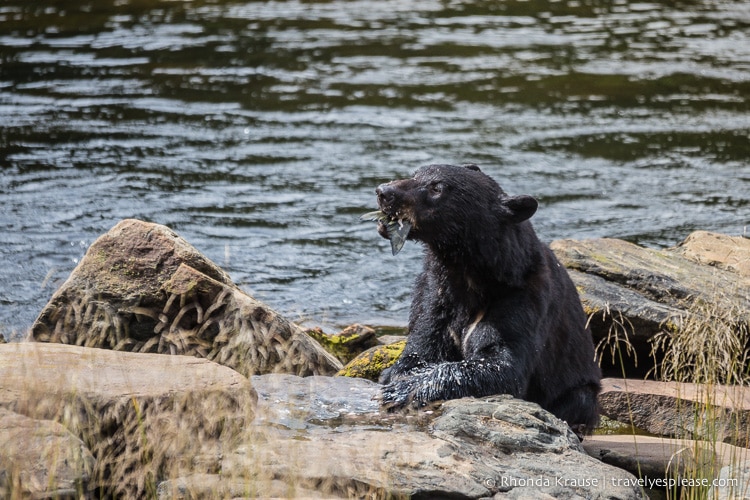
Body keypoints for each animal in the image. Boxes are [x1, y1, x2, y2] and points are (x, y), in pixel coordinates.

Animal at [370, 163, 604, 434]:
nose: (384, 191)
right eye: (416, 173)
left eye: (437, 187)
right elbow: (423, 343)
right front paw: (396, 375)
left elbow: (502, 364)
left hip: (580, 390)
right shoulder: (435, 293)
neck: (469, 274)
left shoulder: (523, 299)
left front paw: (402, 390)